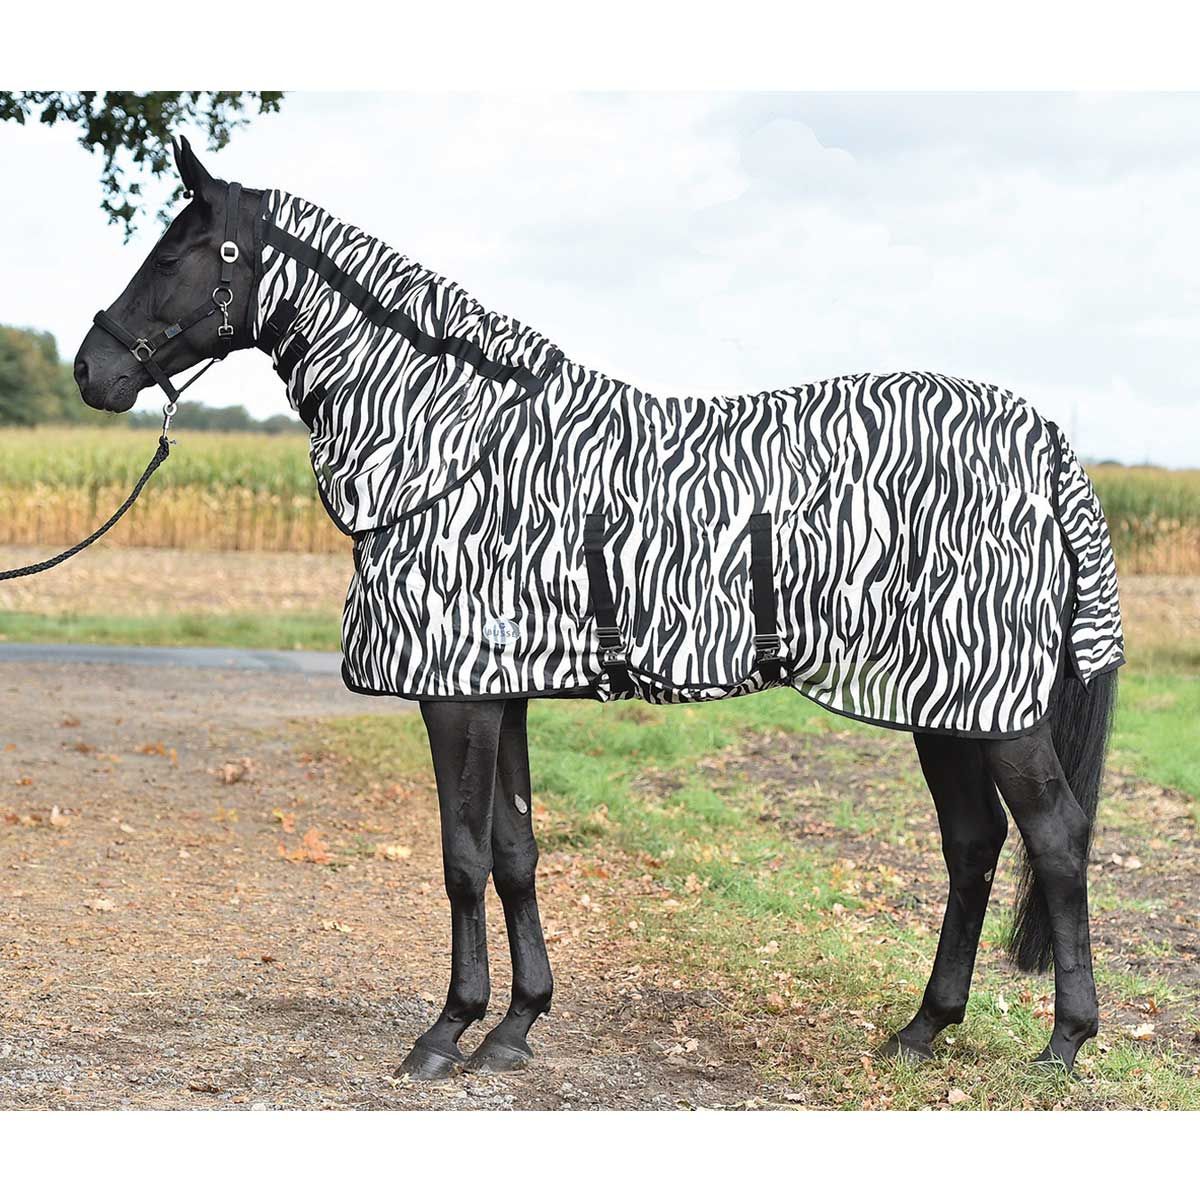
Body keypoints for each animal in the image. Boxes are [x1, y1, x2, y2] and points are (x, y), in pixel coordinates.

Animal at [72, 137, 1123, 1081]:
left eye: (171, 255)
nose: (91, 371)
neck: (454, 444)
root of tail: (1045, 442)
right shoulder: (501, 691)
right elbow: (515, 851)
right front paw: (514, 1027)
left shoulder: (454, 694)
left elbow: (461, 858)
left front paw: (445, 1034)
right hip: (941, 703)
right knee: (974, 844)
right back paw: (921, 1030)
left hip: (995, 708)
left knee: (1056, 839)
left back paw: (1064, 1044)